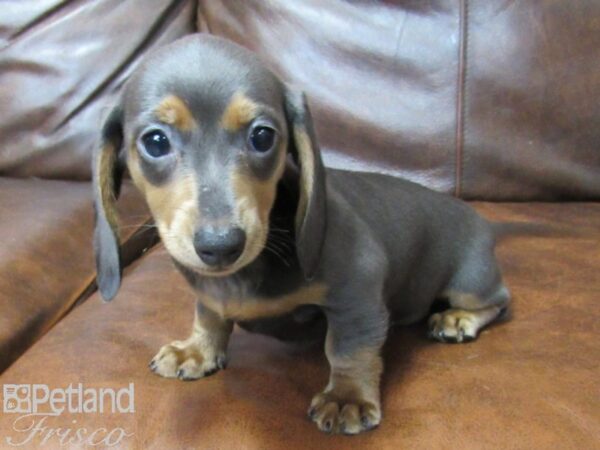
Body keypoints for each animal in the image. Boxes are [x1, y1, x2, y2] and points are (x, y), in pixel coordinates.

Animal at [94, 35, 510, 436]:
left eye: (262, 136)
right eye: (155, 142)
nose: (221, 245)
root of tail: (478, 217)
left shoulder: (358, 289)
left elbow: (348, 348)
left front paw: (346, 397)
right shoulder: (209, 294)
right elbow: (210, 315)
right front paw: (198, 350)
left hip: (469, 280)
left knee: (497, 300)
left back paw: (458, 319)